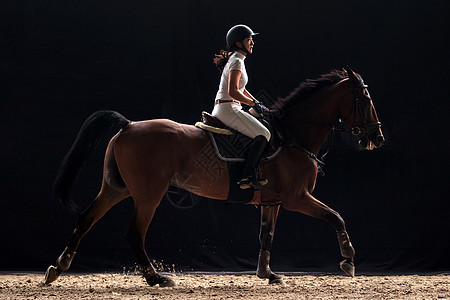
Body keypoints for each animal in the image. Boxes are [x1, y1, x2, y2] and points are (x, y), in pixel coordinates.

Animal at [44, 67, 384, 288]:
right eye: (366, 99)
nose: (377, 138)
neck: (292, 135)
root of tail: (128, 125)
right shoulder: (297, 198)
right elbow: (336, 217)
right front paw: (349, 261)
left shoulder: (272, 202)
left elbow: (267, 236)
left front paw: (267, 274)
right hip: (149, 193)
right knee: (134, 233)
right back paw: (156, 278)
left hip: (117, 188)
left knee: (86, 219)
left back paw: (57, 268)